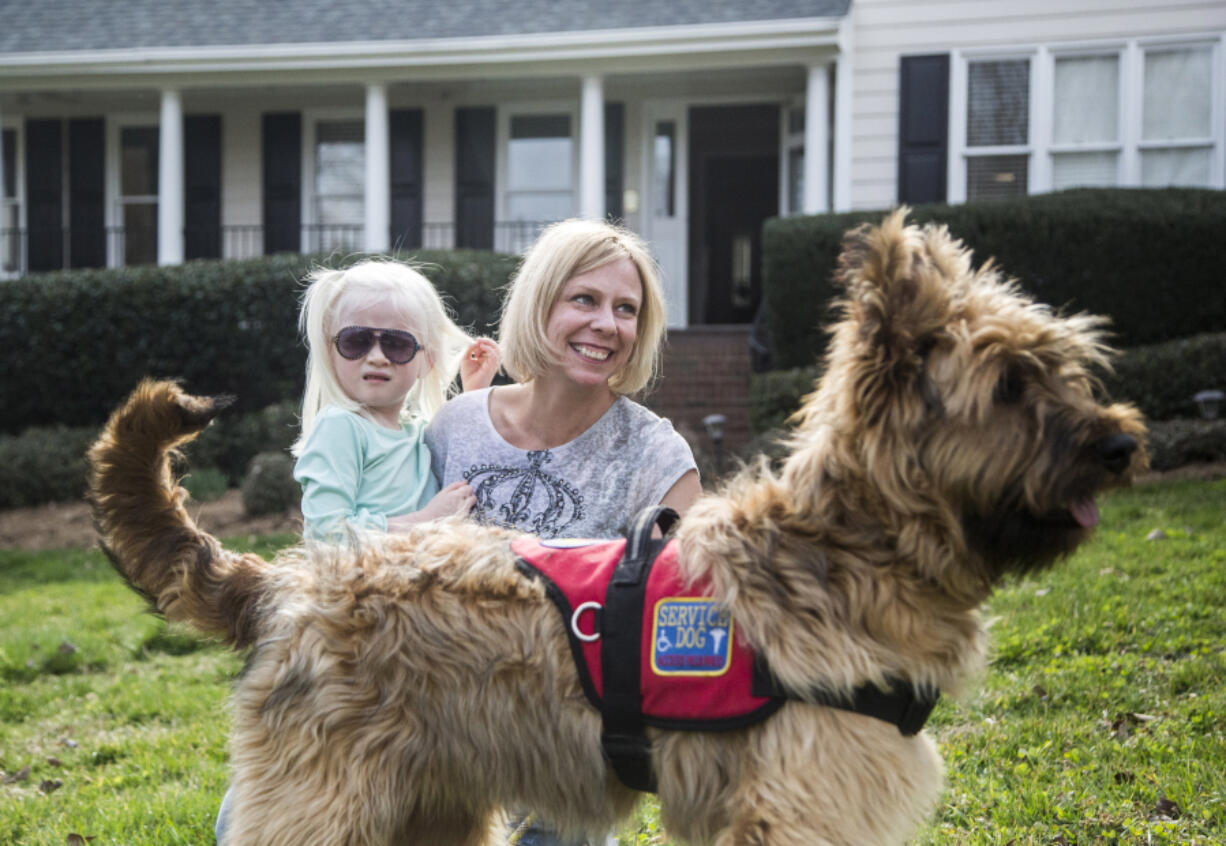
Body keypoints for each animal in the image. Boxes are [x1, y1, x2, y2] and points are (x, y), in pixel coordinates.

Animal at [88, 212, 1147, 843]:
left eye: (1062, 368)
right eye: (1007, 385)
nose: (1123, 444)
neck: (849, 546)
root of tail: (291, 577)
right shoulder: (802, 799)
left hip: (426, 800)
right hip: (323, 799)